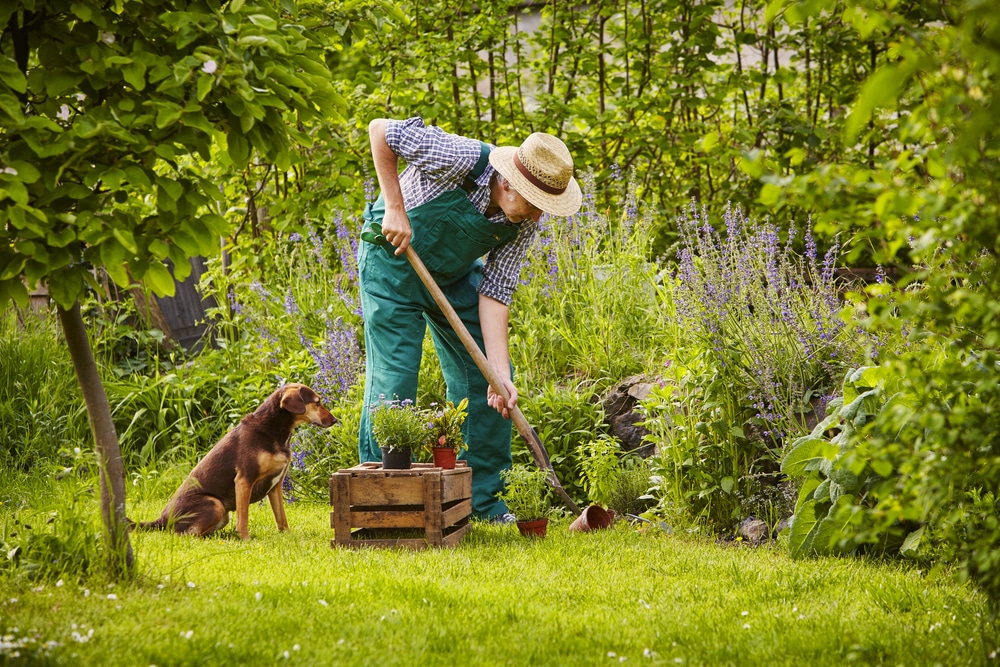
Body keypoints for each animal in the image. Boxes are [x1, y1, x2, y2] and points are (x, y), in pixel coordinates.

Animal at [137, 384, 336, 540]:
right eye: (317, 402)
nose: (335, 420)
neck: (272, 431)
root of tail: (161, 520)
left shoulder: (276, 486)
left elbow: (281, 518)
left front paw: (287, 536)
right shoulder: (243, 480)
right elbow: (244, 518)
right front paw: (246, 539)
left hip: (222, 514)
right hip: (214, 504)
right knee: (184, 535)